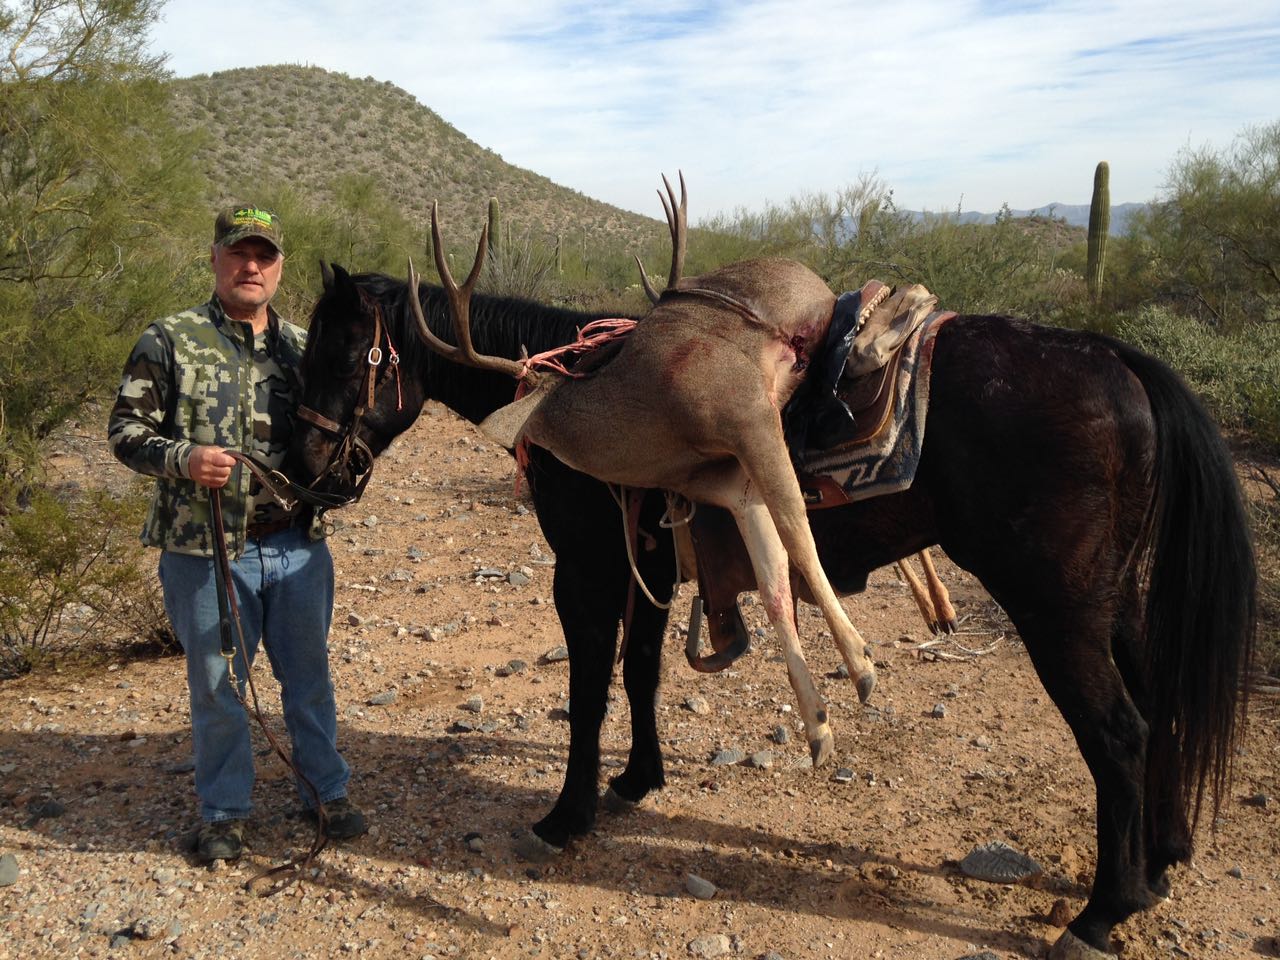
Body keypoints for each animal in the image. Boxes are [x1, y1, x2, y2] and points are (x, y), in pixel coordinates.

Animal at [288, 263, 1249, 960]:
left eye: (337, 357)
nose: (302, 469)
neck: (557, 388)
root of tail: (1116, 359)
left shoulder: (586, 572)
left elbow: (591, 692)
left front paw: (566, 817)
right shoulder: (647, 567)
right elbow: (642, 673)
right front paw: (637, 781)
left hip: (1056, 606)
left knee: (1118, 732)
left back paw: (1102, 911)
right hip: (1111, 598)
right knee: (1159, 702)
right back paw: (1162, 860)